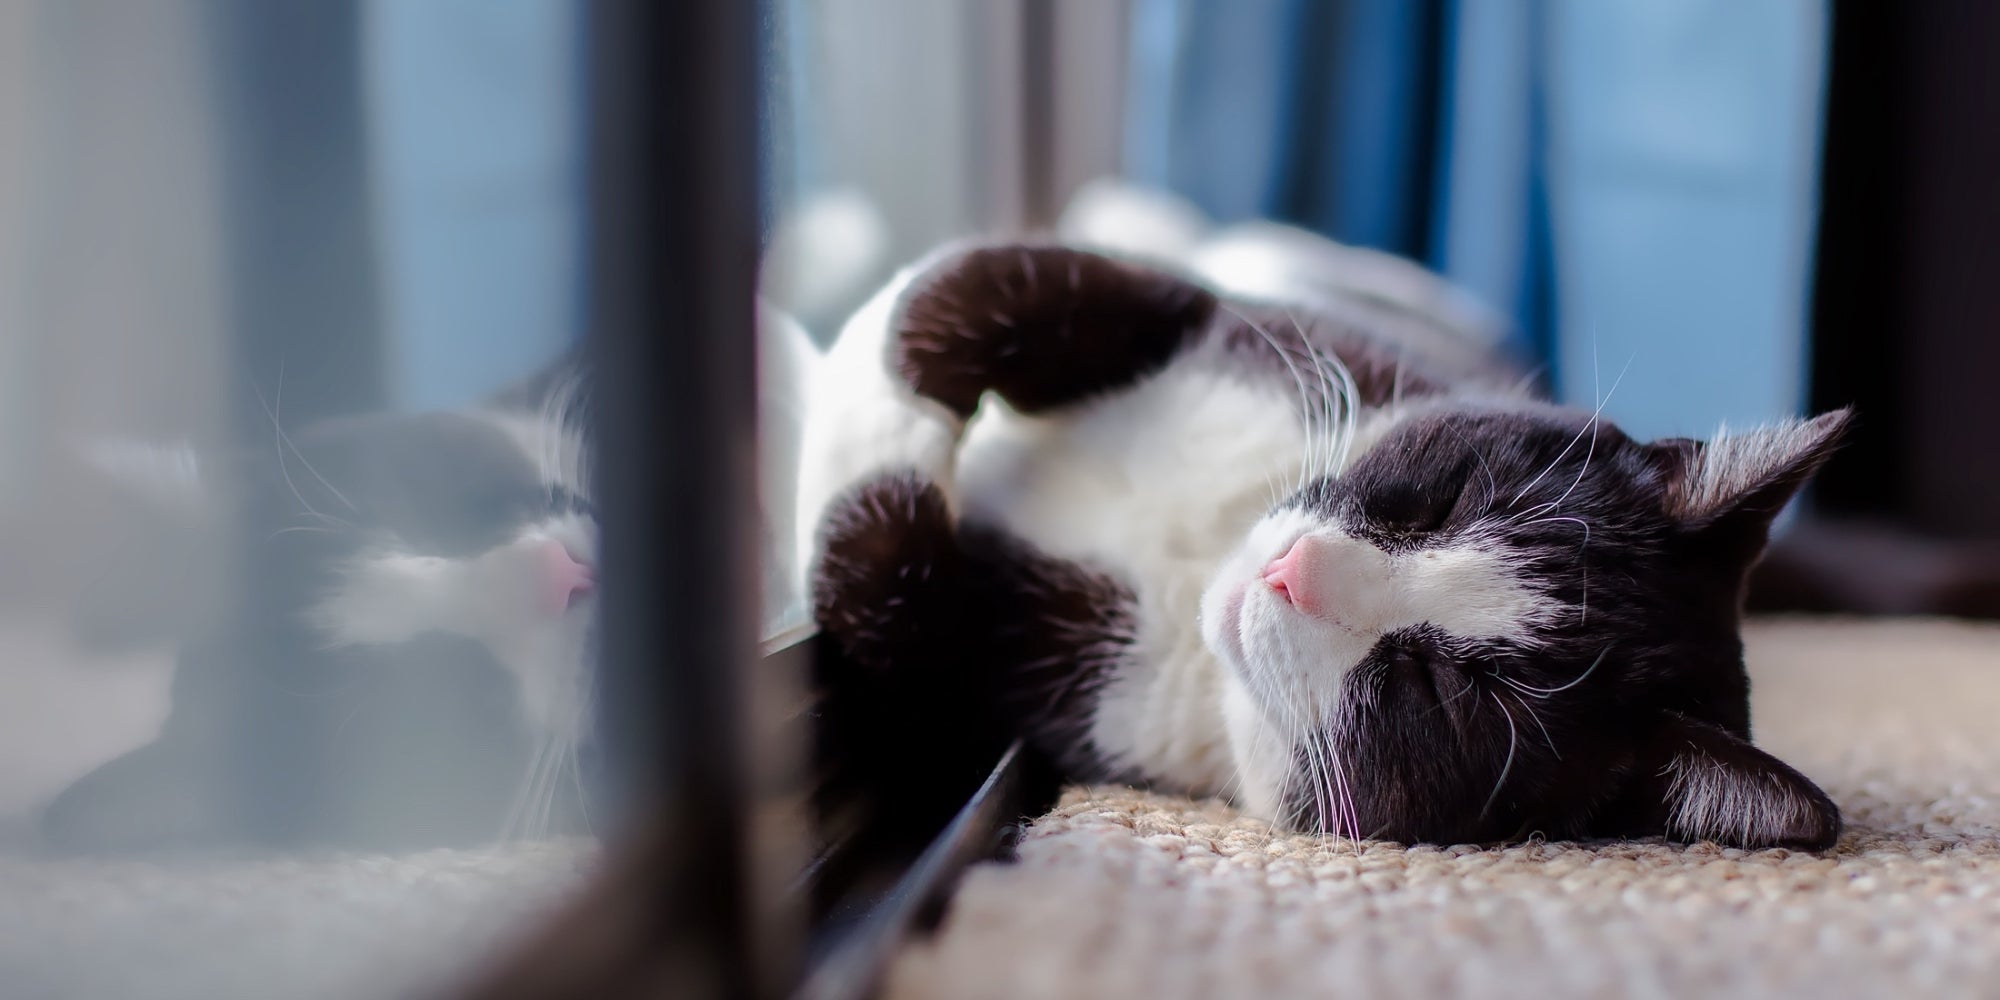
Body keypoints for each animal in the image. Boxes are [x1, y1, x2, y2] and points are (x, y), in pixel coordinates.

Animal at [792, 236, 1840, 852]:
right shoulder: (1256, 328)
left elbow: (887, 594)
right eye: (1446, 502)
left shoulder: (1038, 698)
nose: (1290, 572)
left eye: (1443, 692)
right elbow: (975, 286)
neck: (1202, 549)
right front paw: (866, 356)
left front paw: (852, 420)